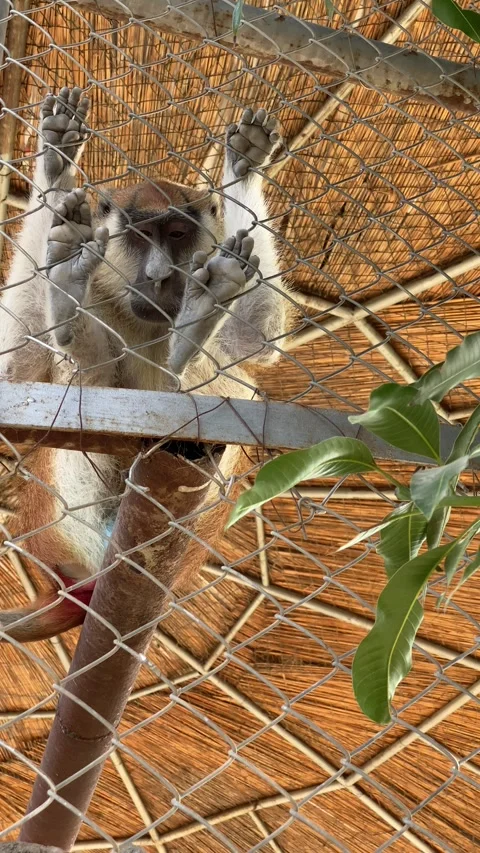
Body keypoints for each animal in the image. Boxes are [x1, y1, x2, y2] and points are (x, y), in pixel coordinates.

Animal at [0, 87, 291, 642]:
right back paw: (68, 289)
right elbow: (18, 374)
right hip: (60, 529)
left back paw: (190, 333)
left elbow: (256, 343)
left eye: (176, 233)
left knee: (229, 389)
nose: (159, 276)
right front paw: (55, 161)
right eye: (139, 236)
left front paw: (243, 167)